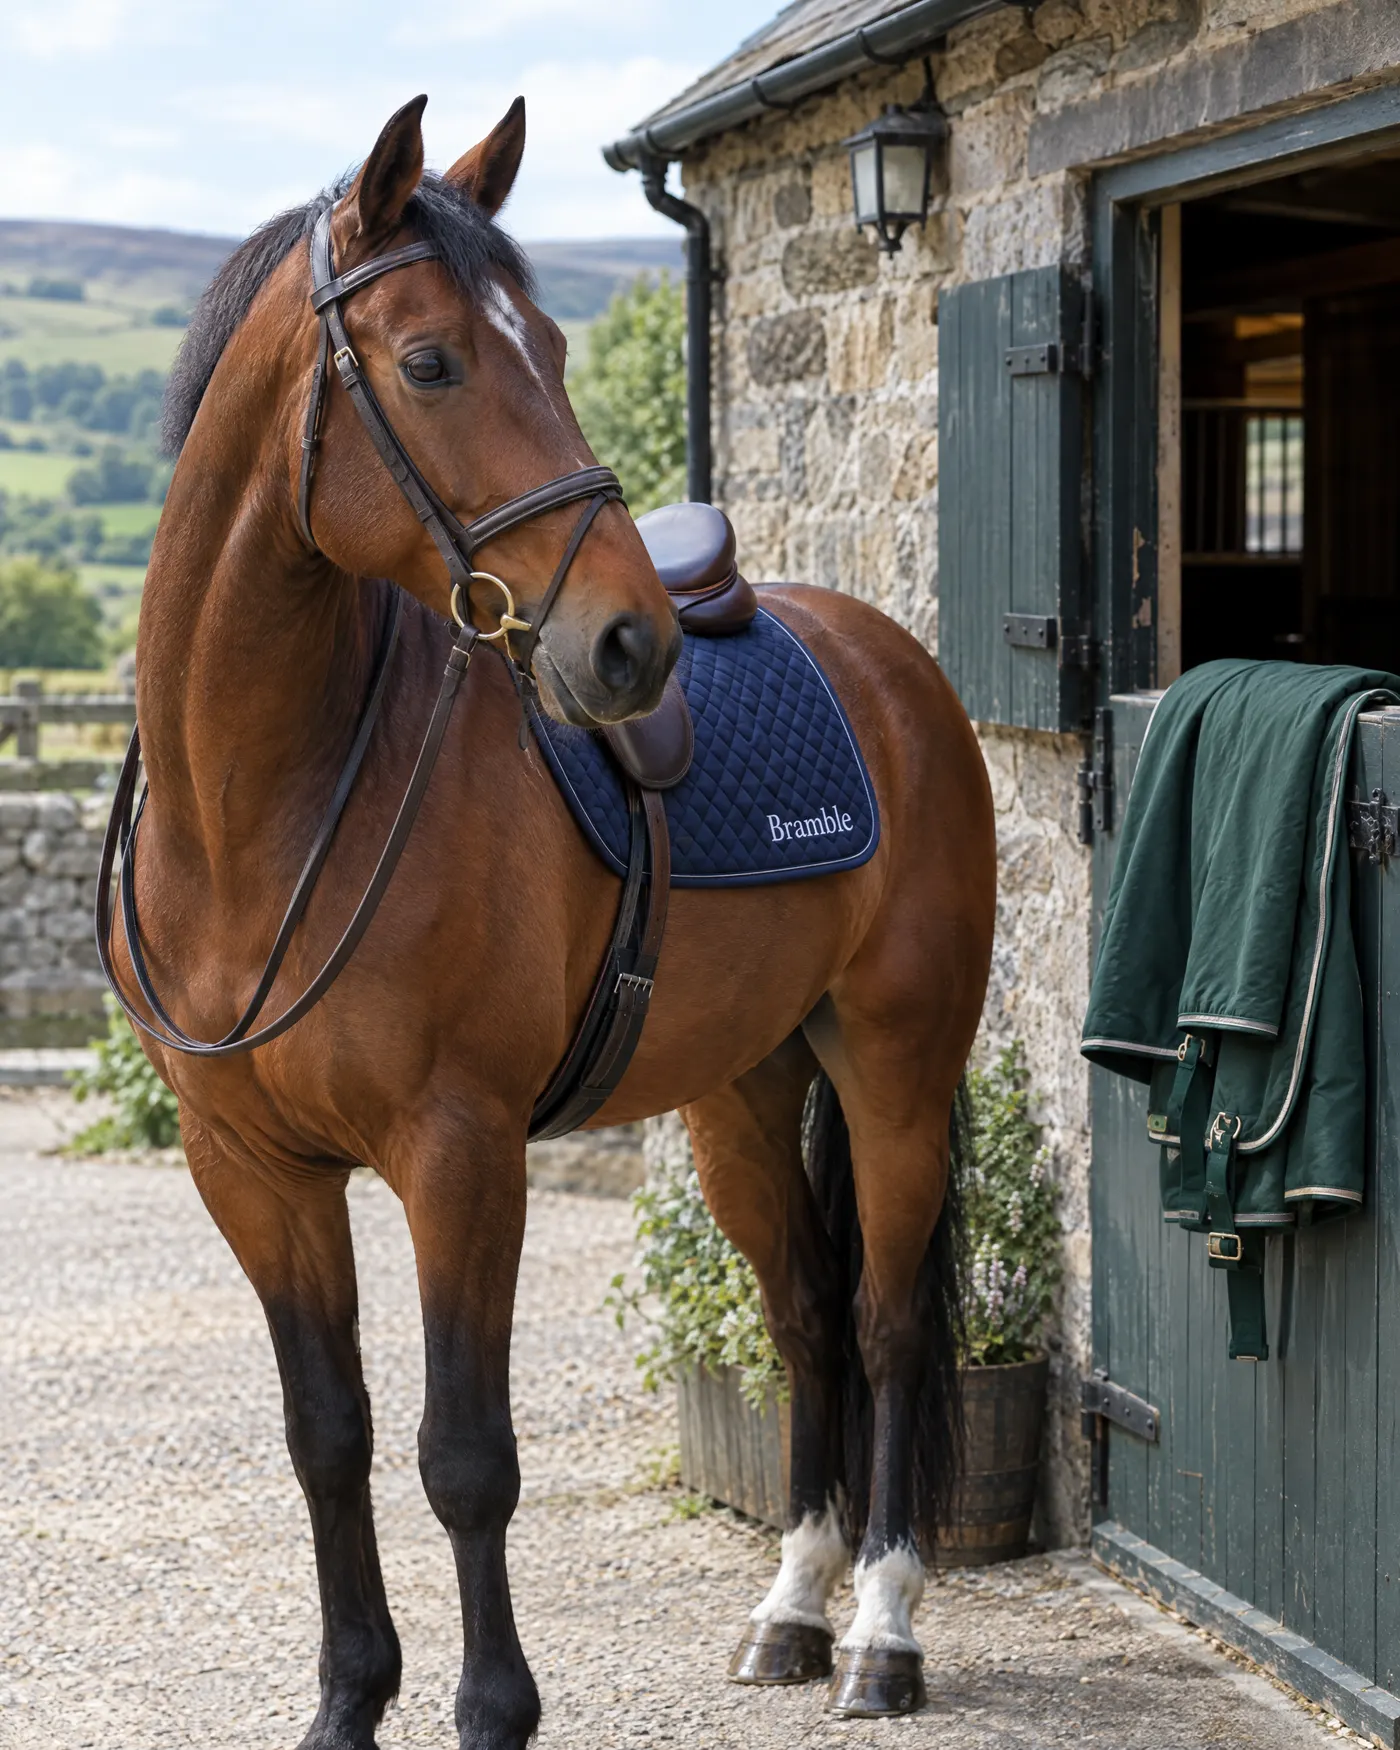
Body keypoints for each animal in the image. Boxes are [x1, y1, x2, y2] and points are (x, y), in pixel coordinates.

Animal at [107, 93, 996, 1749]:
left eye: (562, 349)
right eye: (431, 361)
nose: (629, 642)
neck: (264, 808)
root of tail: (890, 661)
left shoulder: (460, 1157)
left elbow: (466, 1456)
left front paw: (492, 1709)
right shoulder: (252, 1172)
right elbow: (328, 1435)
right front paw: (349, 1700)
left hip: (896, 1068)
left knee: (892, 1321)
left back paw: (882, 1633)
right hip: (742, 1090)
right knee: (803, 1314)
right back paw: (791, 1609)